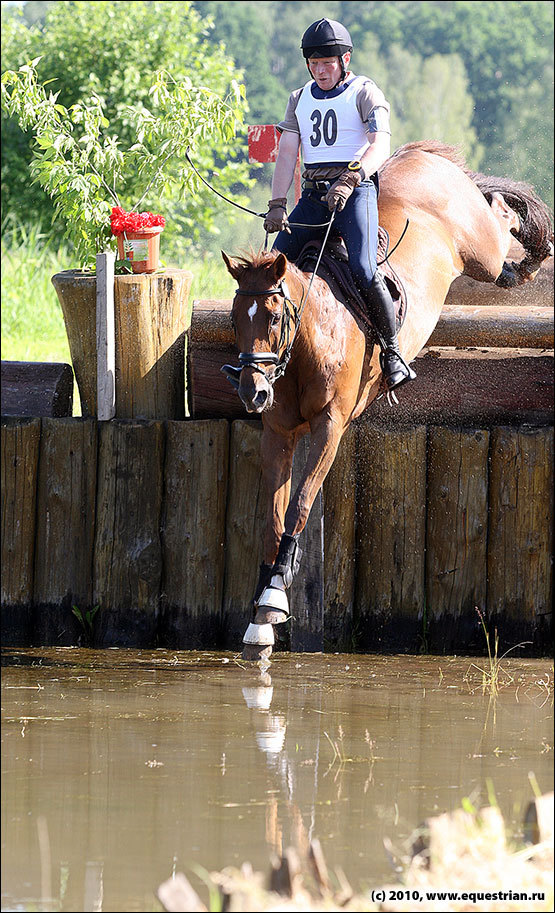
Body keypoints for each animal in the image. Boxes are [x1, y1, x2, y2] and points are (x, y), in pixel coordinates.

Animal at [220, 139, 552, 660]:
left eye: (273, 317)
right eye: (236, 319)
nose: (253, 391)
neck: (313, 338)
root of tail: (425, 156)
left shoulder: (330, 426)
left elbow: (300, 503)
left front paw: (273, 596)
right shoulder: (278, 432)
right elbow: (272, 518)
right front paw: (261, 619)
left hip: (480, 250)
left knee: (500, 222)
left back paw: (531, 253)